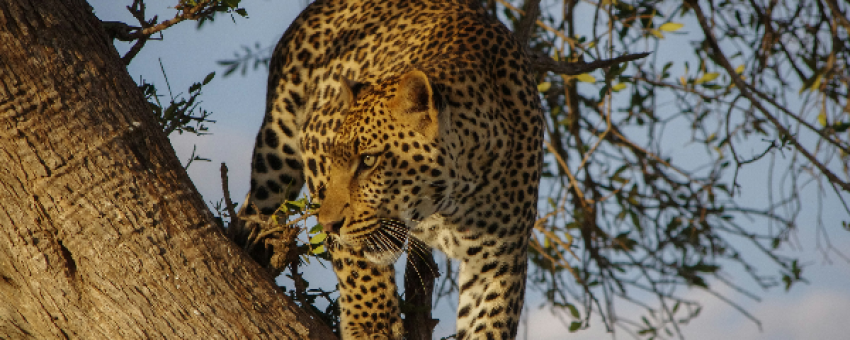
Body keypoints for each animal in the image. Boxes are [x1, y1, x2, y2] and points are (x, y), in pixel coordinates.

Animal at [242, 0, 540, 340]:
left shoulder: (499, 260)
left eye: (369, 161)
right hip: (277, 148)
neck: (453, 200)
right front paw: (371, 324)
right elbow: (354, 260)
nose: (329, 224)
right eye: (335, 160)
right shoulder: (315, 137)